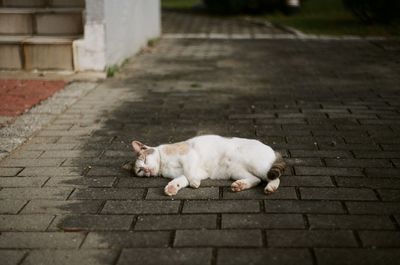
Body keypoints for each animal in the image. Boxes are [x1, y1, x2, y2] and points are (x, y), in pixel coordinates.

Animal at [123, 135, 286, 195]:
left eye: (144, 160)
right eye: (140, 170)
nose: (146, 170)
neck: (164, 165)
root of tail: (273, 150)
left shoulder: (189, 156)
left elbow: (189, 173)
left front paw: (194, 183)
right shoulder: (197, 171)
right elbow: (182, 178)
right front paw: (172, 187)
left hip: (258, 165)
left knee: (274, 178)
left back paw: (270, 187)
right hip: (236, 171)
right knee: (256, 180)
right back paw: (240, 185)